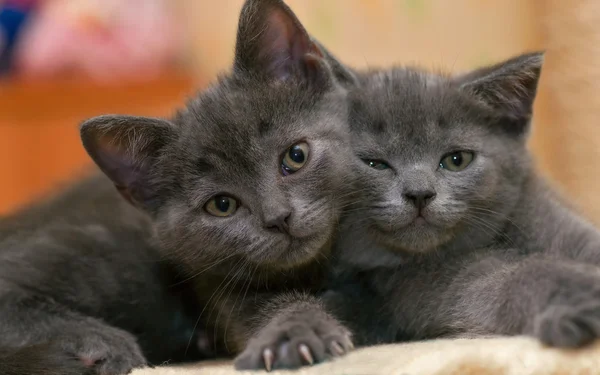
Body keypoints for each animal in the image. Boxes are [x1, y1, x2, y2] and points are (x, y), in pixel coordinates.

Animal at [326, 53, 600, 350]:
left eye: (457, 160)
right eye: (375, 163)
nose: (419, 193)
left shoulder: (545, 213)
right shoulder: (423, 288)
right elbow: (496, 283)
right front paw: (575, 294)